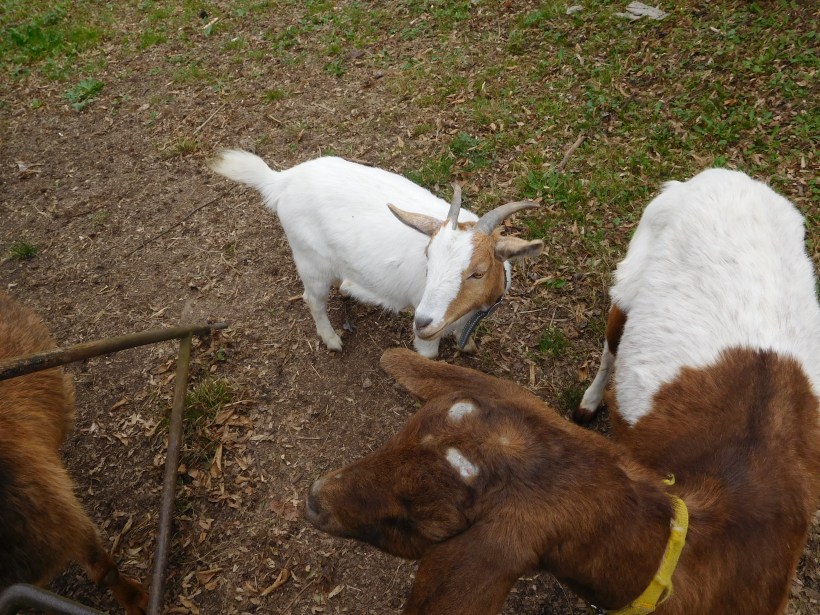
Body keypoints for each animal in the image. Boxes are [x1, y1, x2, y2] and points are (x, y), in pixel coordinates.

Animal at [209, 151, 543, 357]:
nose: (422, 322)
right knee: (312, 299)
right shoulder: (428, 339)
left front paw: (470, 347)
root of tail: (283, 180)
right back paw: (332, 339)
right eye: (429, 262)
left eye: (478, 272)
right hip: (310, 261)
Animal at [305, 170, 820, 615]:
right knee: (611, 347)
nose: (314, 499)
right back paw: (588, 405)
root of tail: (724, 176)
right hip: (628, 279)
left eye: (432, 519)